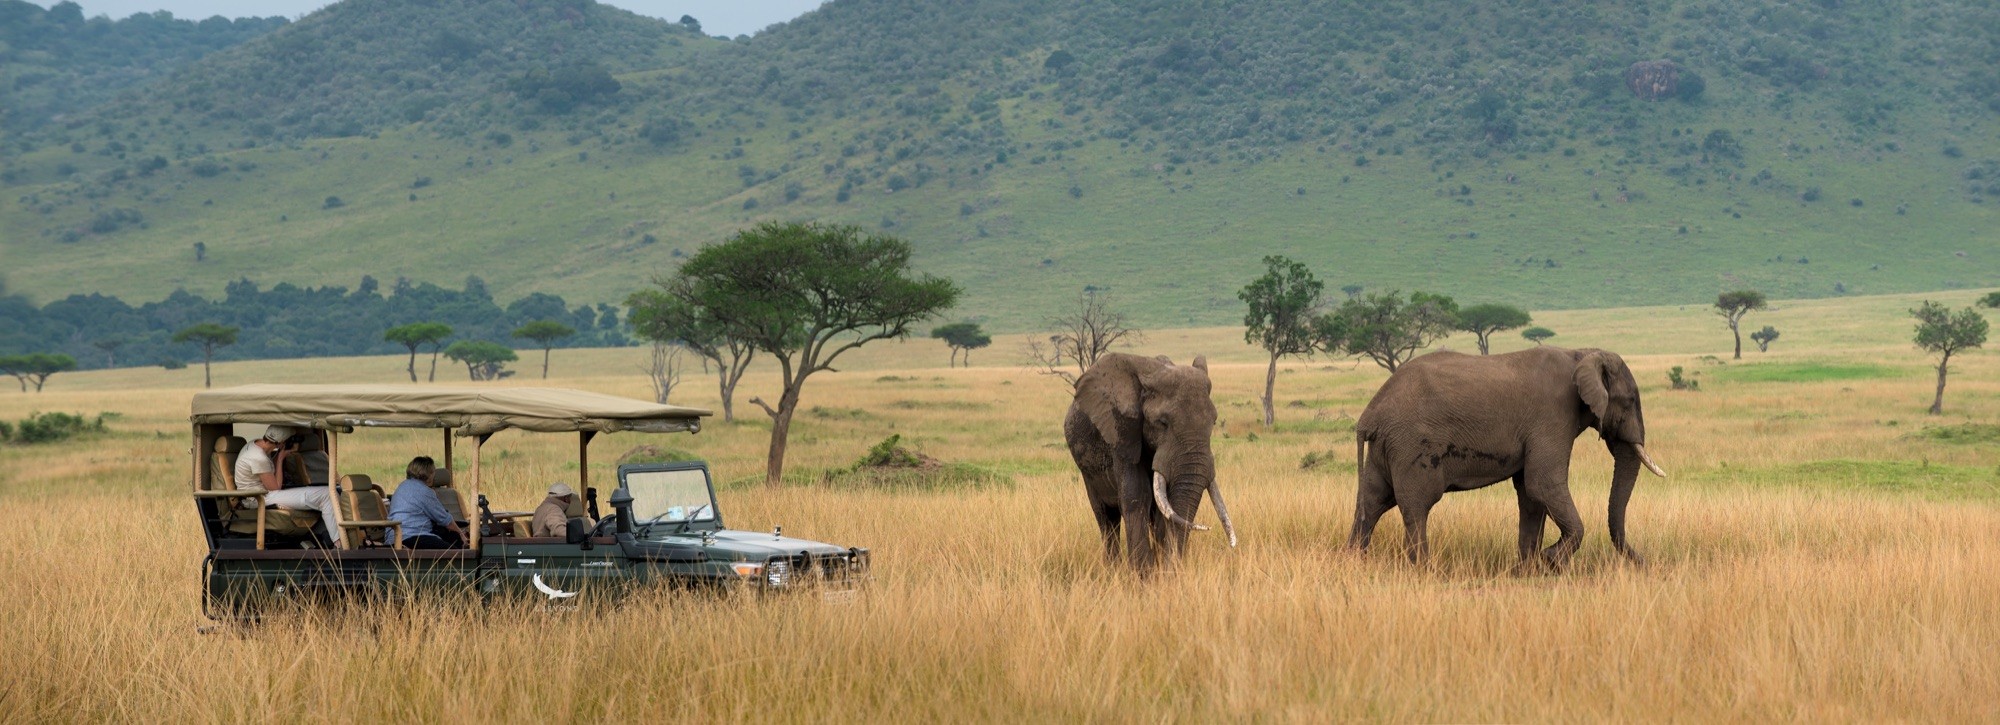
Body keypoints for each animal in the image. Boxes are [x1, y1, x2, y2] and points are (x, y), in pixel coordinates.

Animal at [1064, 353, 1237, 571]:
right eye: (1162, 423)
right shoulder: (1123, 434)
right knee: (1106, 518)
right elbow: (1137, 496)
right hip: (1087, 471)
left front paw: (1160, 572)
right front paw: (1144, 575)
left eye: (1214, 422)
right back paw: (1112, 569)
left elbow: (1165, 506)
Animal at [1347, 346, 1666, 571]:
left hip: (1384, 450)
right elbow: (1542, 484)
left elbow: (1531, 494)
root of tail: (1369, 415)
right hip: (1410, 446)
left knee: (1371, 503)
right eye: (1630, 401)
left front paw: (1528, 571)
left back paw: (1353, 562)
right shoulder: (1553, 415)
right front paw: (1551, 561)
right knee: (1415, 507)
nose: (1645, 564)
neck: (1581, 352)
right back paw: (1423, 571)